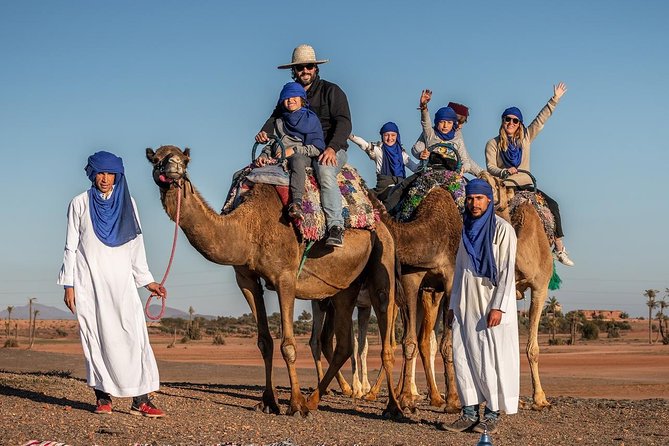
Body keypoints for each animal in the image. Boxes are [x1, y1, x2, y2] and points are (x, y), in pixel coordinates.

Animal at [146, 145, 402, 416]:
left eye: (185, 160)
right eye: (156, 159)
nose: (174, 167)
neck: (248, 227)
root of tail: (379, 222)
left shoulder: (285, 278)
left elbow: (287, 345)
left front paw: (296, 404)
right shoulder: (245, 279)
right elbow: (265, 342)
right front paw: (269, 401)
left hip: (382, 262)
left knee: (386, 334)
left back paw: (393, 406)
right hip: (344, 287)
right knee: (343, 343)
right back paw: (315, 400)